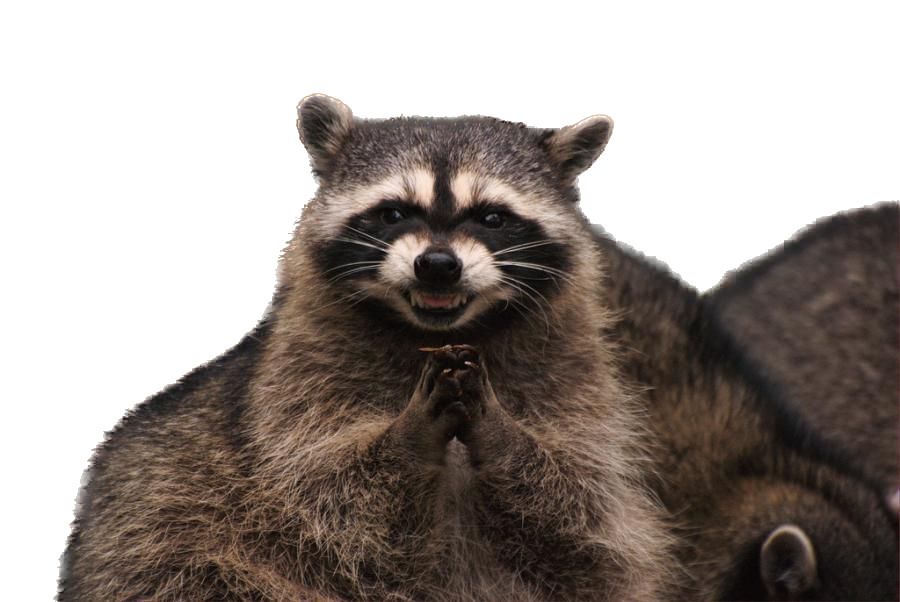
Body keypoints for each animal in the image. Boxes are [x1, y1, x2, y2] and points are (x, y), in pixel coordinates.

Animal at [59, 96, 671, 601]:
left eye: (493, 217)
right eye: (394, 211)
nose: (438, 264)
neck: (433, 333)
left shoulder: (574, 381)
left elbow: (580, 523)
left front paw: (500, 432)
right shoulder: (294, 383)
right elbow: (329, 497)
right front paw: (408, 435)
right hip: (167, 543)